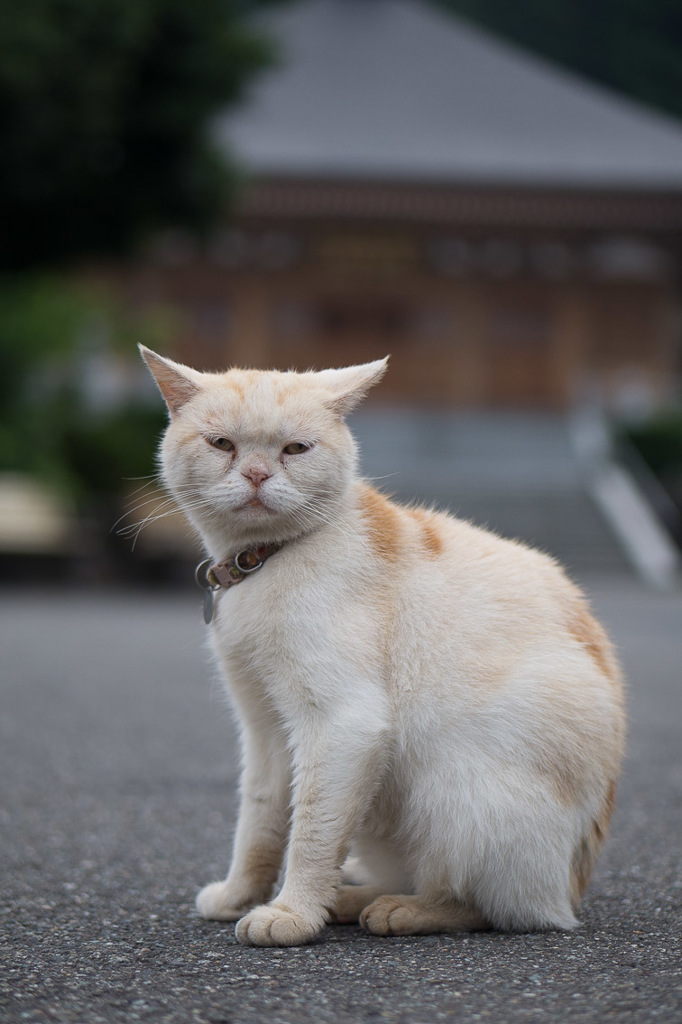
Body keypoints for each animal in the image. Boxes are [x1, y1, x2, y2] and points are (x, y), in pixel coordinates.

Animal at [140, 348, 622, 946]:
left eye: (295, 449)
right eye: (222, 445)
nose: (256, 475)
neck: (261, 562)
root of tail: (573, 888)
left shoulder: (344, 723)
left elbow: (311, 833)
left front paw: (292, 913)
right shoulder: (264, 726)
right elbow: (260, 821)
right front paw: (240, 897)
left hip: (453, 786)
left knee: (491, 905)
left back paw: (394, 910)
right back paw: (351, 898)